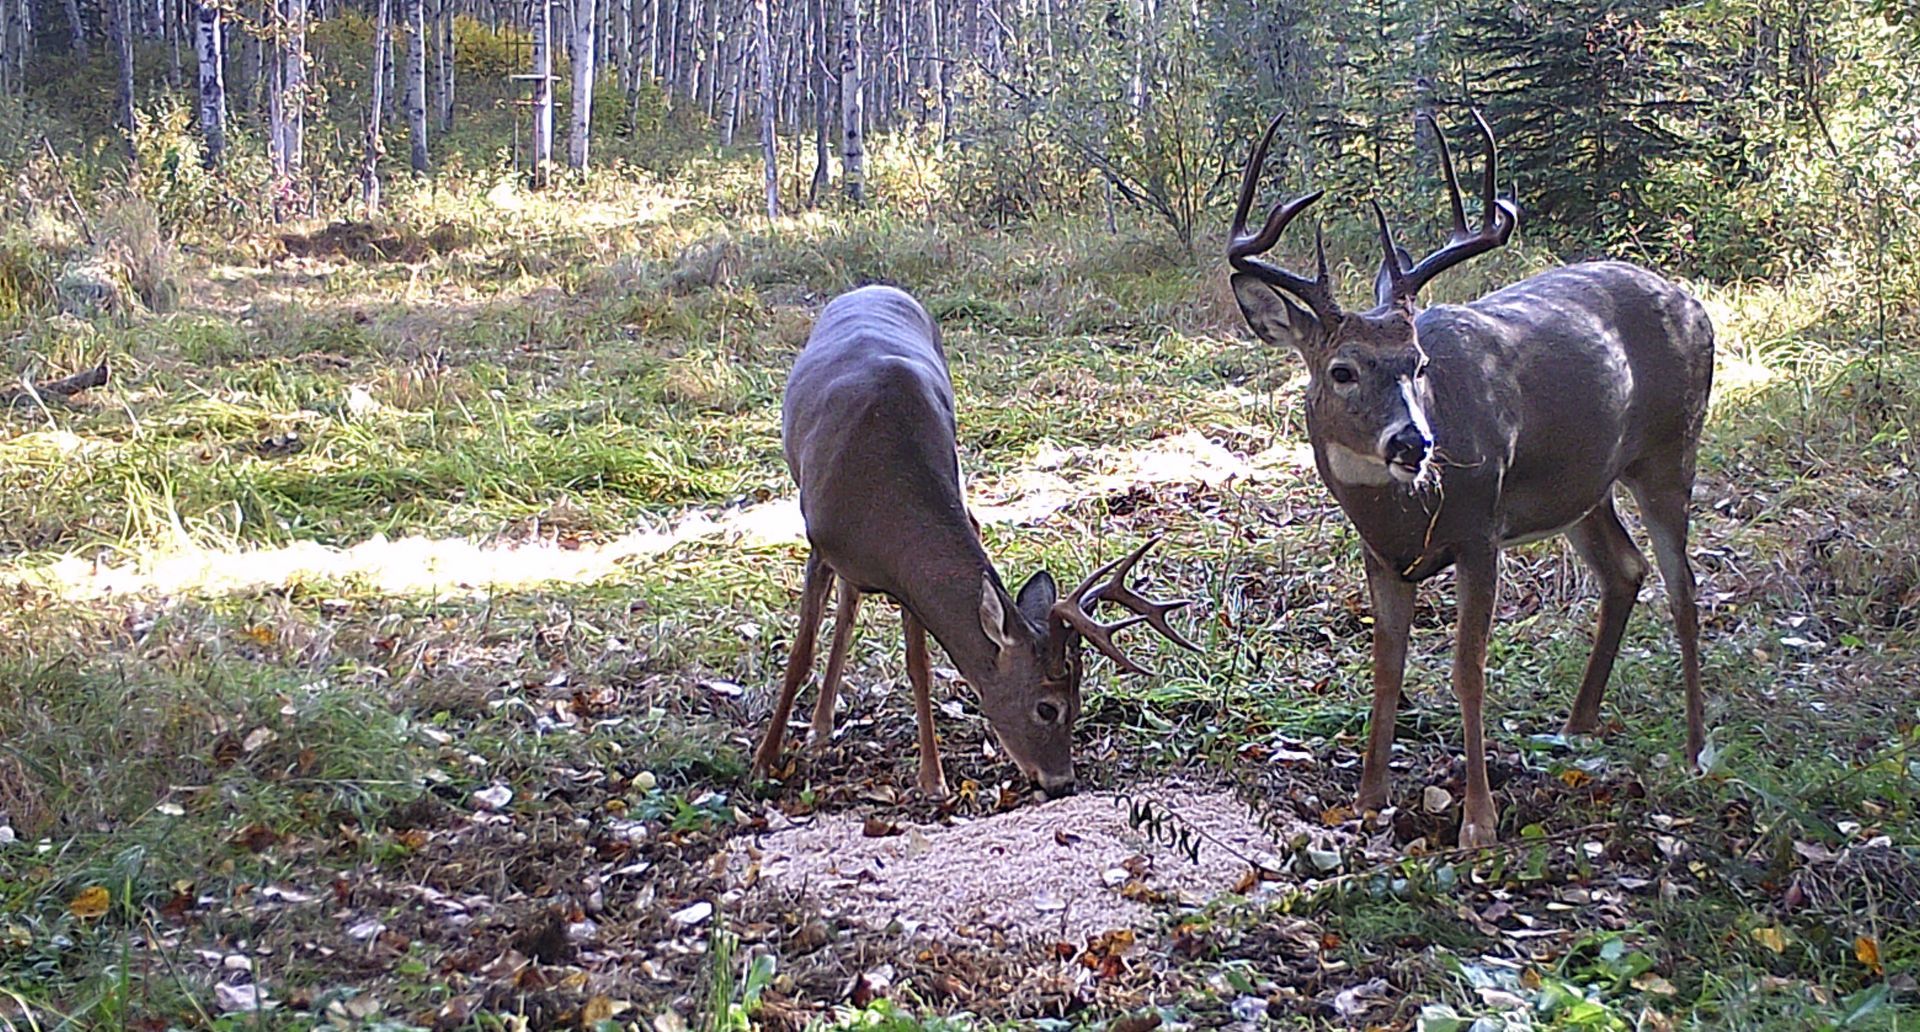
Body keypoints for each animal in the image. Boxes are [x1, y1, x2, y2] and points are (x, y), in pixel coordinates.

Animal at [751, 284, 1201, 799]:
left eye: (1080, 699)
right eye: (1047, 707)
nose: (1061, 782)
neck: (880, 487)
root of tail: (874, 286)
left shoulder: (907, 574)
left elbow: (919, 667)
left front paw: (932, 778)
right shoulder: (821, 544)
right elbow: (800, 655)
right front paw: (763, 761)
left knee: (848, 610)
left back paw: (823, 727)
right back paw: (817, 731)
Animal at [1227, 112, 1714, 847]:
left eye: (1419, 364)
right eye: (1342, 370)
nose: (1413, 441)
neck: (1406, 511)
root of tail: (1695, 302)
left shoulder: (1480, 532)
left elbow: (1467, 670)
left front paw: (1478, 821)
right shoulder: (1381, 555)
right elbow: (1386, 668)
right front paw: (1369, 799)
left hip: (1669, 451)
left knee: (1683, 588)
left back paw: (1694, 749)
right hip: (1582, 487)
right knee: (1625, 569)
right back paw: (1573, 730)